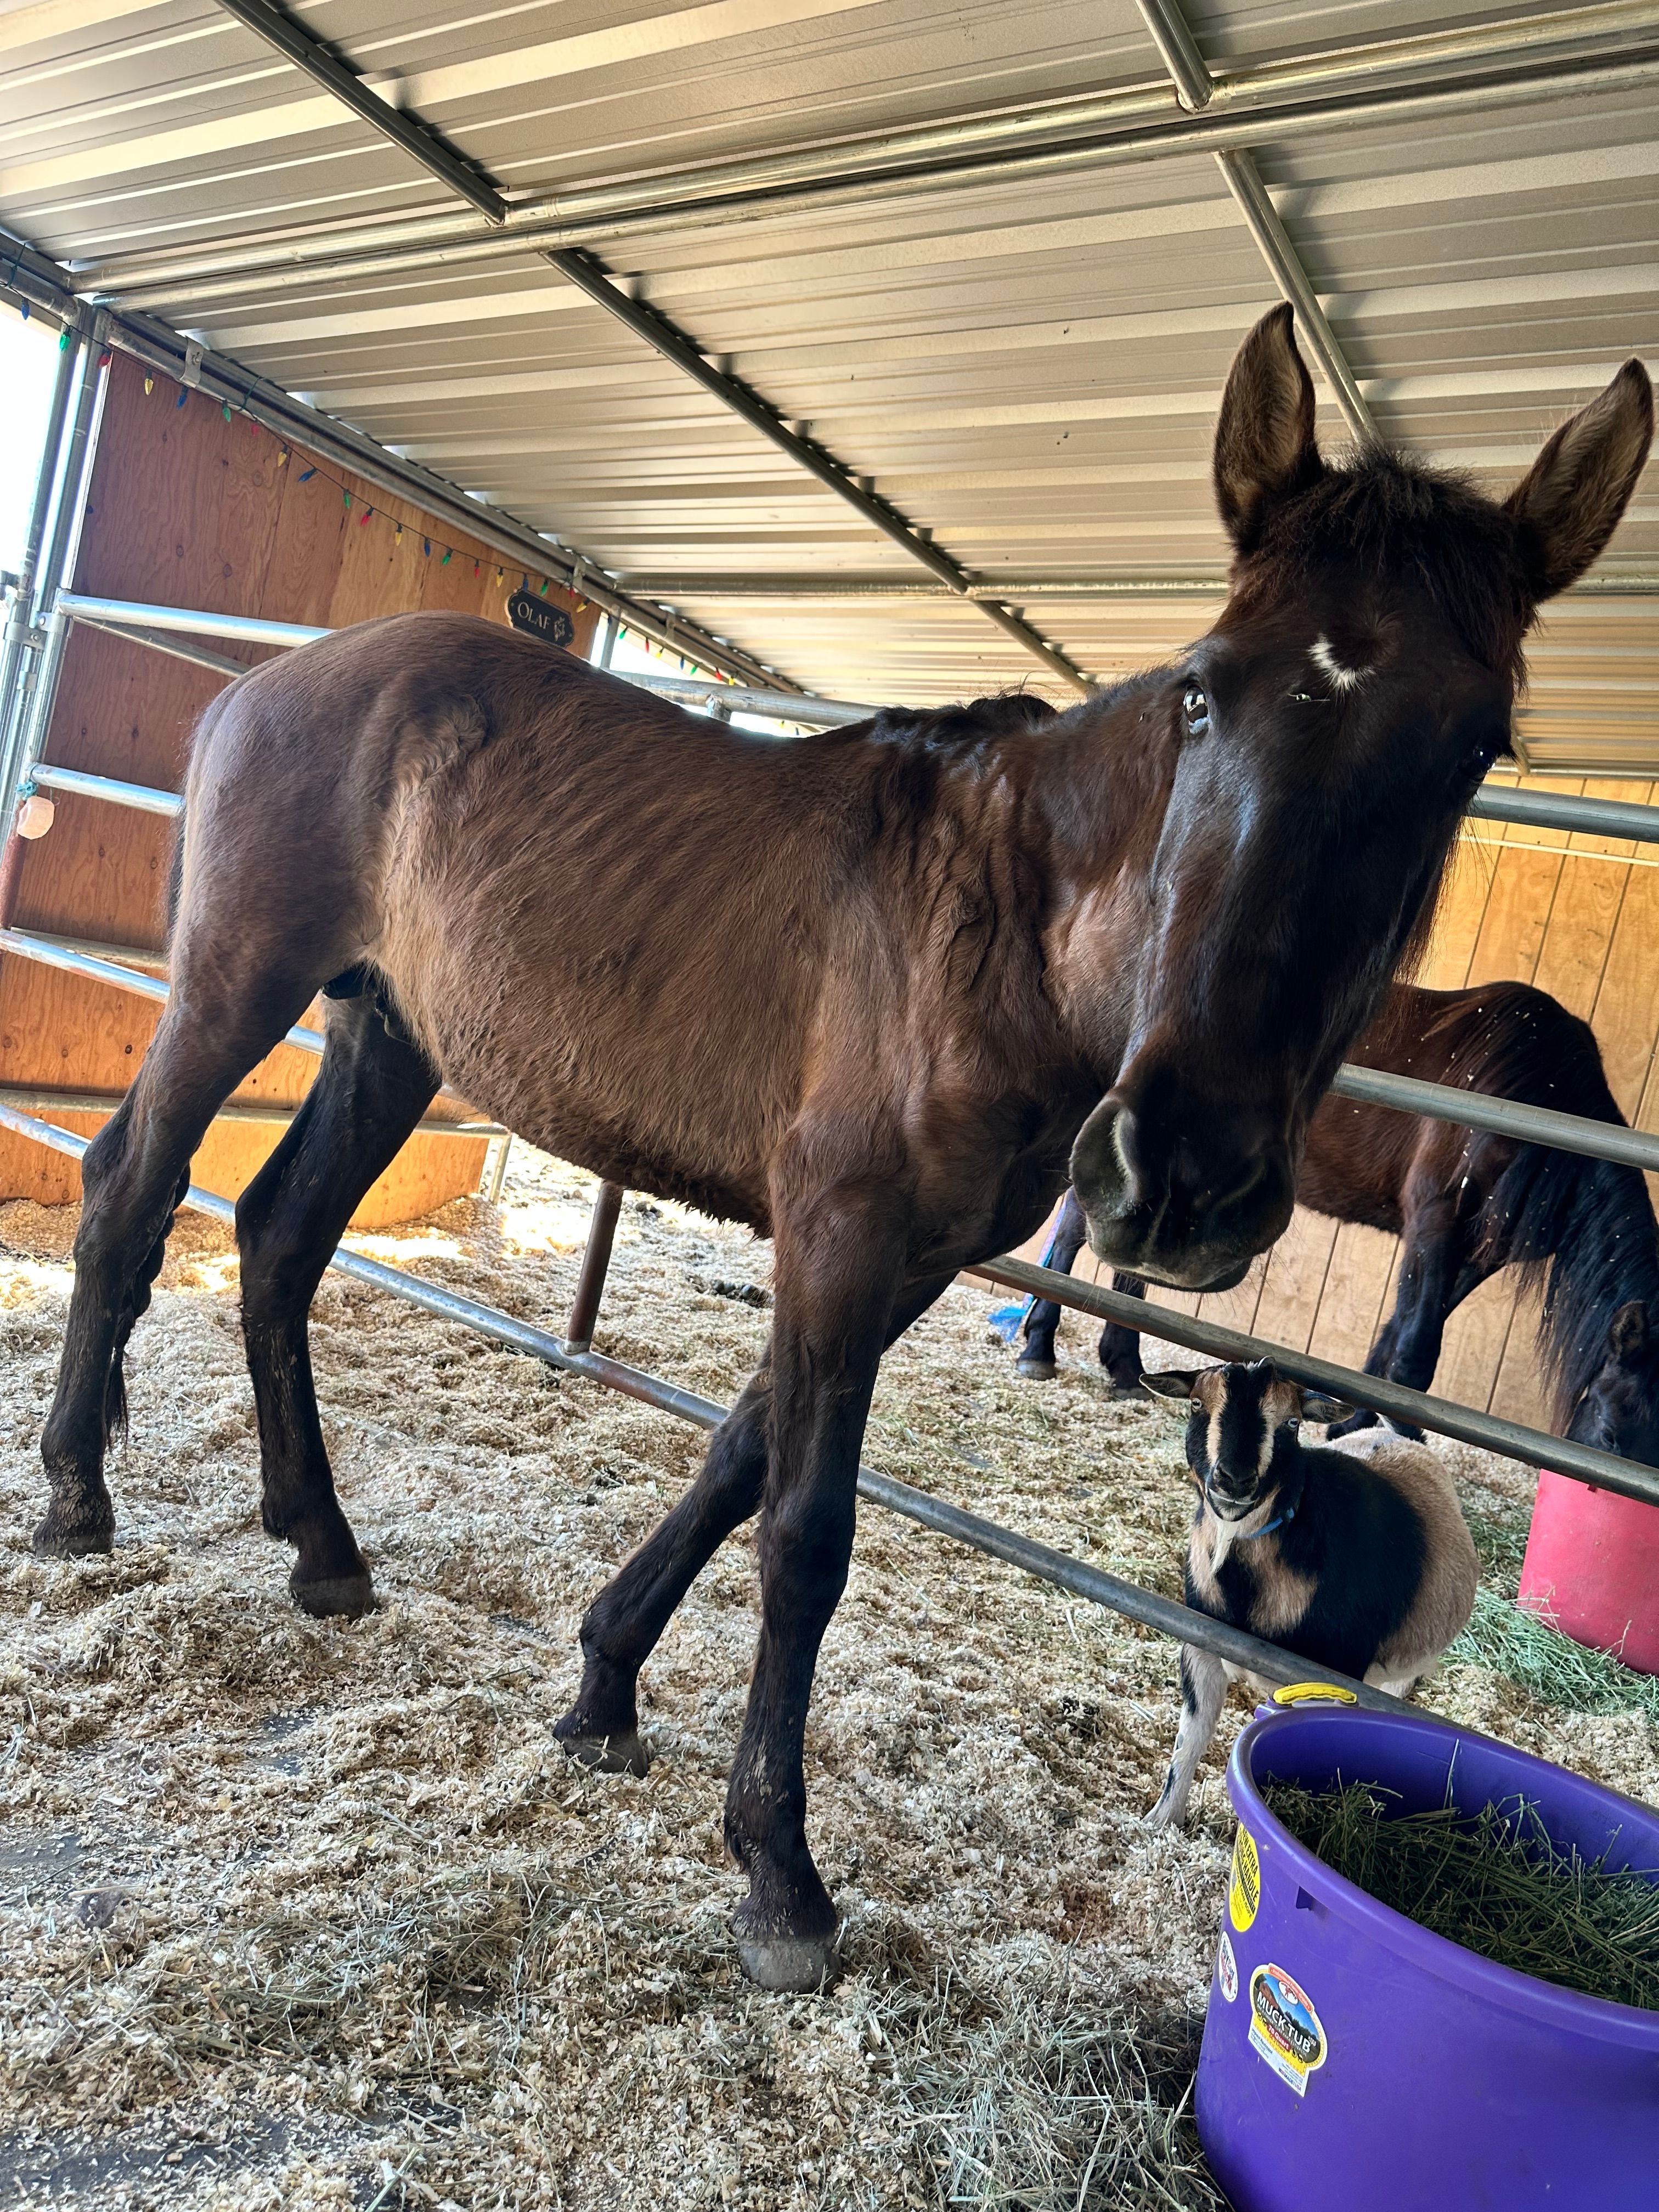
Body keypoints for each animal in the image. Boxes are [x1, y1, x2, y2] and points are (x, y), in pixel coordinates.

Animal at [1018, 982, 1659, 1465]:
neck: (1538, 1095)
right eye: (1609, 1433)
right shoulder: (1436, 1222)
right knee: (1074, 1236)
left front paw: (1355, 1422)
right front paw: (1398, 1434)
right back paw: (1042, 1347)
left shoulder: (1476, 1255)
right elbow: (1416, 1351)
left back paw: (1125, 1367)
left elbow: (1396, 1333)